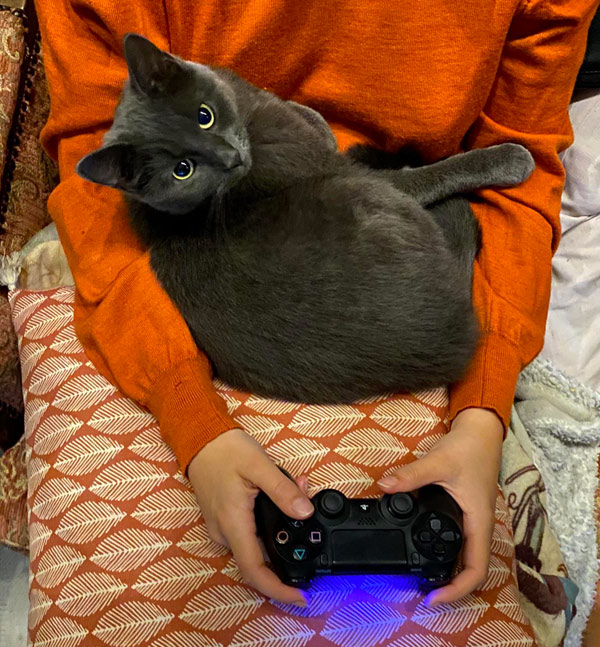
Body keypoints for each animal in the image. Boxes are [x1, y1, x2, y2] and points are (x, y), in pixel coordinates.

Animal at [76, 34, 536, 404]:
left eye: (204, 115)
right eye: (182, 170)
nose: (230, 158)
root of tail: (453, 341)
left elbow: (309, 117)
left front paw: (305, 112)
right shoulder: (337, 167)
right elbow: (431, 173)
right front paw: (510, 159)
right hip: (371, 200)